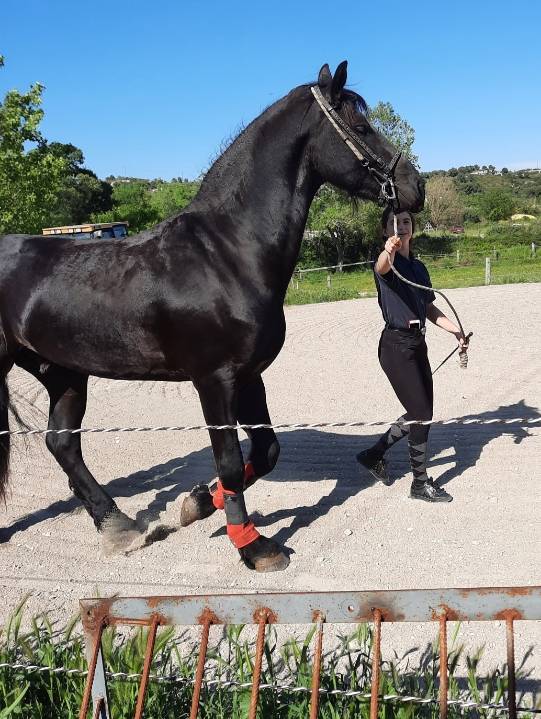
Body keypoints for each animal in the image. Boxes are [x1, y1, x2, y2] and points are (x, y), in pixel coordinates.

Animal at [0, 62, 424, 572]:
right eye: (360, 127)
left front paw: (199, 504)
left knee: (62, 443)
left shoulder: (249, 376)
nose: (415, 187)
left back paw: (120, 527)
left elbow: (266, 451)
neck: (226, 253)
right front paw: (254, 545)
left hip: (62, 372)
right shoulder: (214, 380)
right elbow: (229, 461)